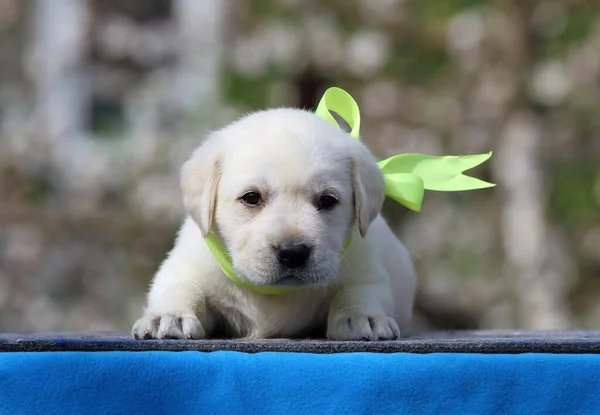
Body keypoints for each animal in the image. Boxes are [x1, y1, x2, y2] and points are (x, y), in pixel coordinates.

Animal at [132, 108, 414, 342]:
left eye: (327, 200)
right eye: (251, 197)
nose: (293, 252)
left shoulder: (368, 273)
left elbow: (357, 291)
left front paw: (362, 317)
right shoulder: (182, 269)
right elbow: (180, 288)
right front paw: (169, 316)